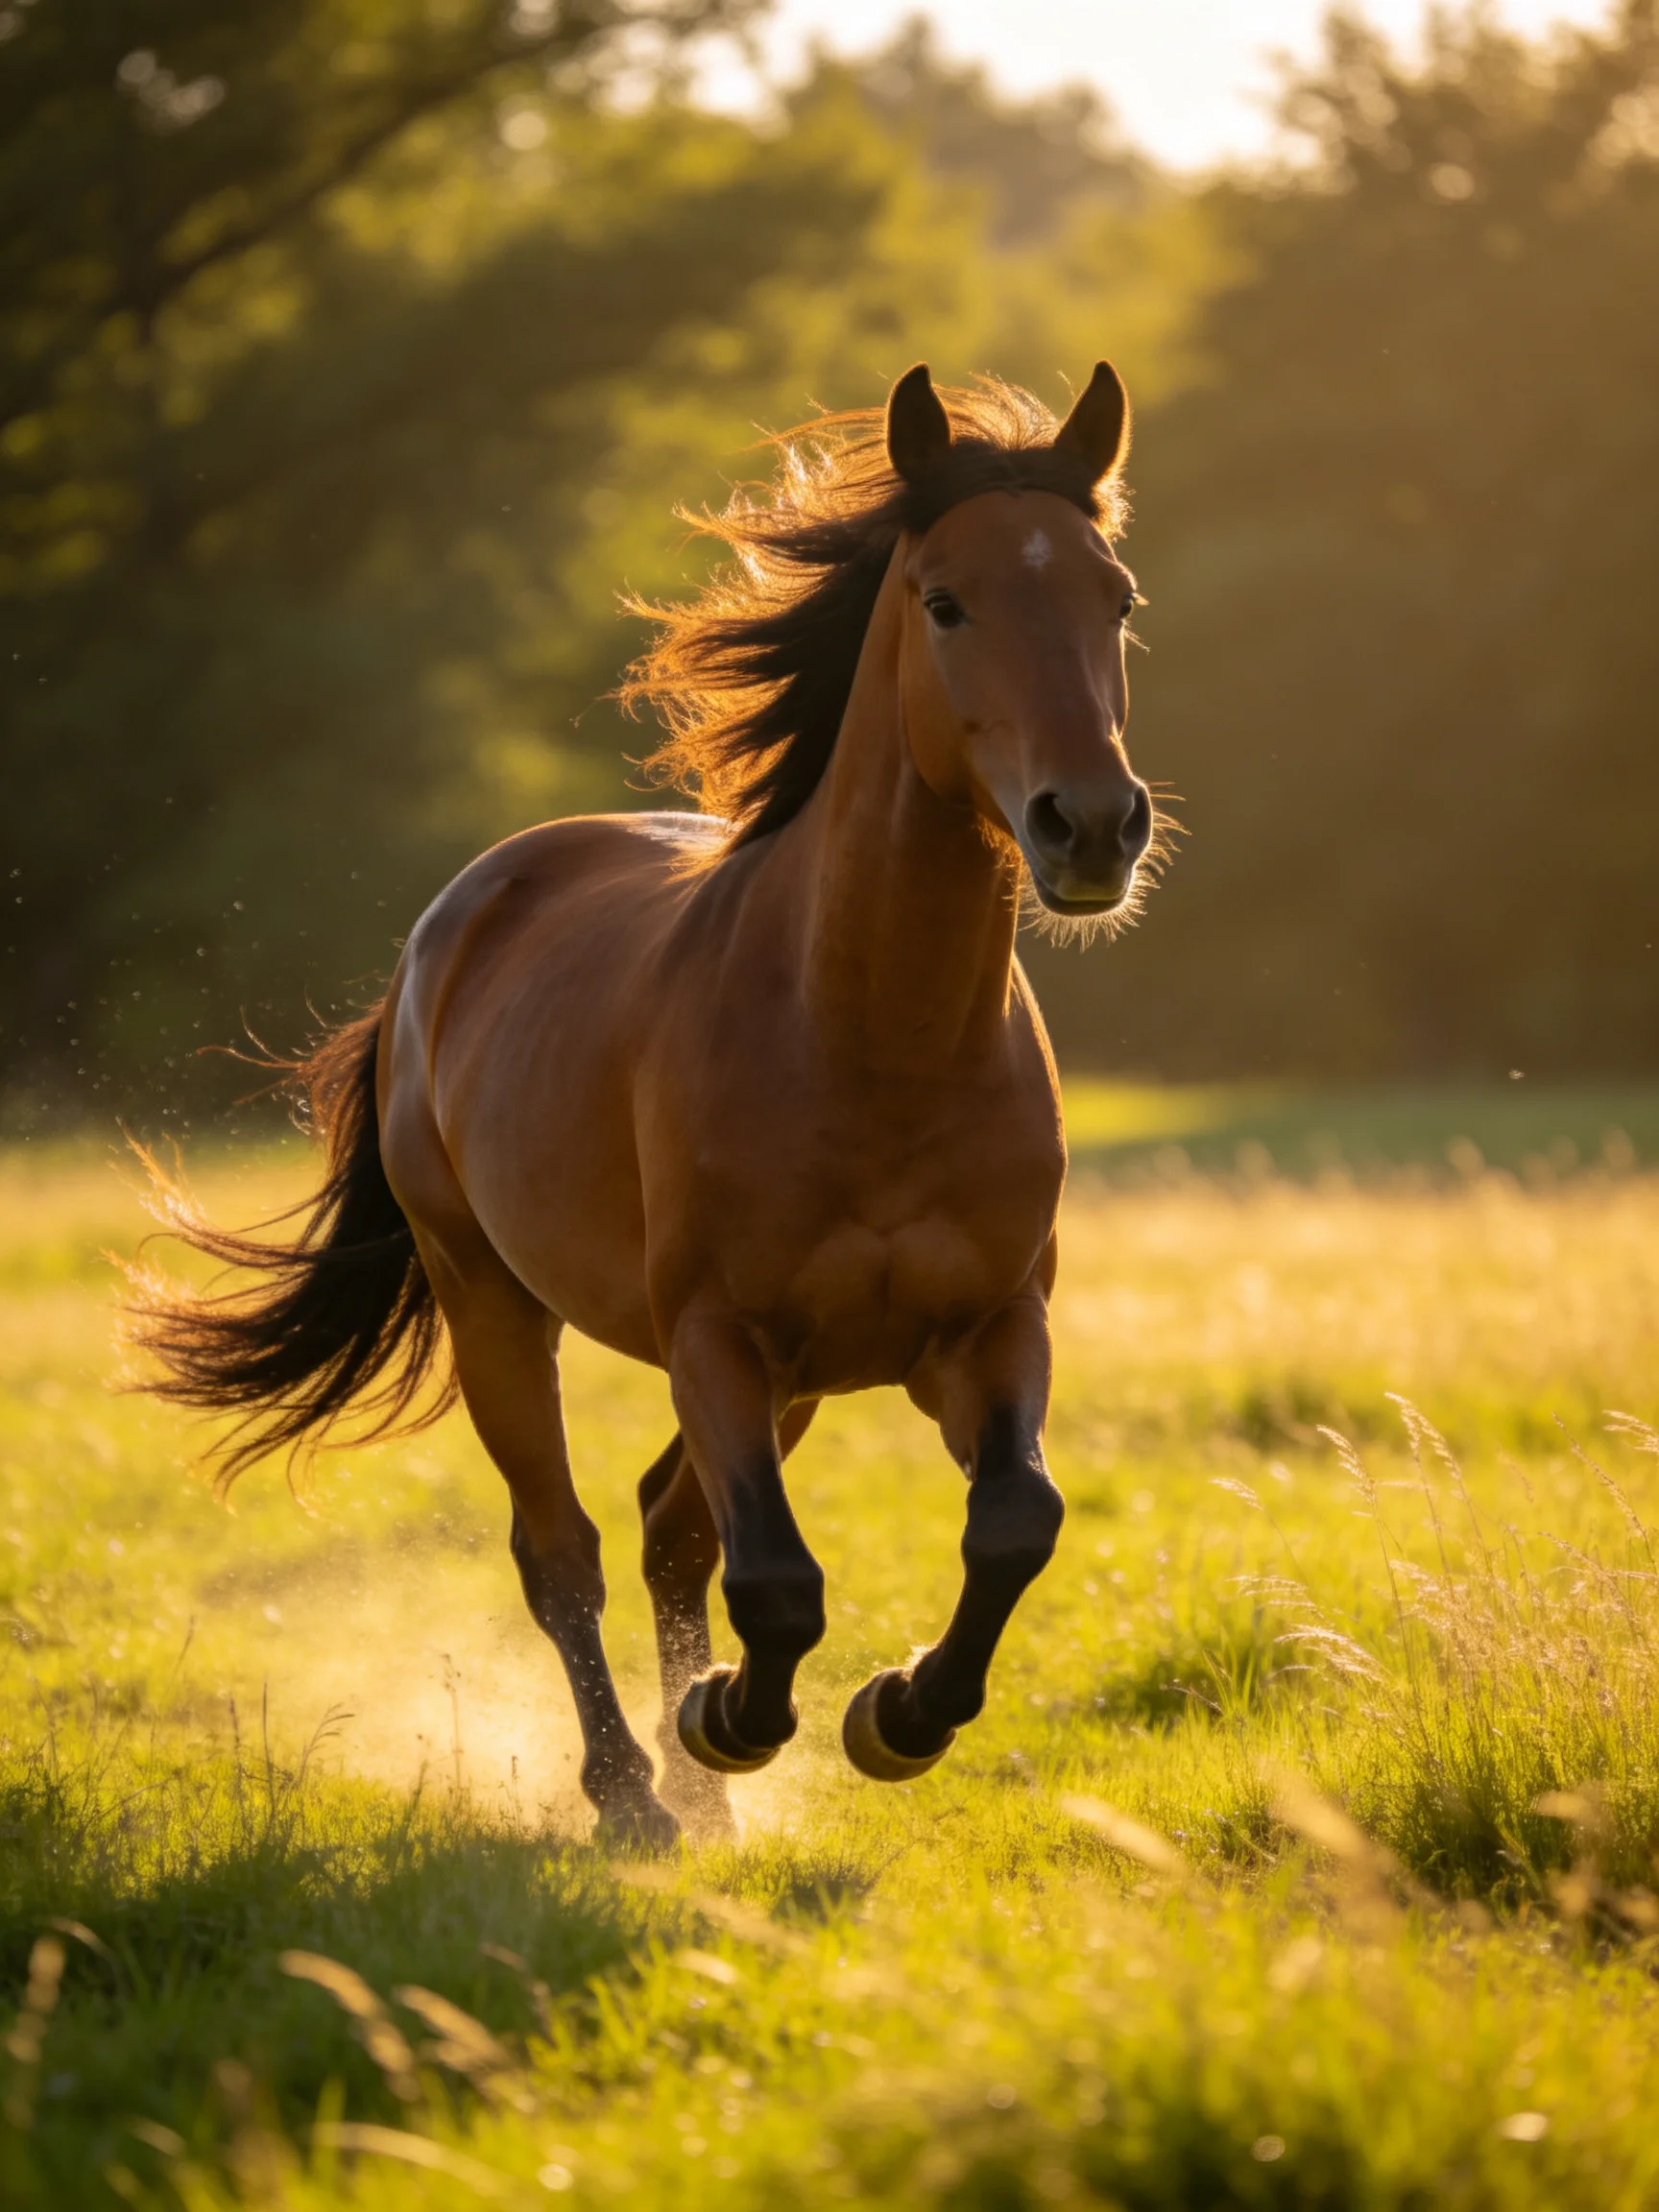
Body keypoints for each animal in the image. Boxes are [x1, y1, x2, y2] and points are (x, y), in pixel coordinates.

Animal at [133, 361, 1162, 1847]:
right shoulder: (716, 1334)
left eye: (1116, 598)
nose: (1090, 826)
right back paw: (636, 1795)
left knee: (669, 1523)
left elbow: (1016, 1521)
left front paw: (892, 1717)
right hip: (496, 1302)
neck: (871, 1039)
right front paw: (732, 1718)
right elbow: (775, 1580)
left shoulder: (984, 1327)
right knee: (563, 1546)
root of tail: (457, 917)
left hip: (793, 1378)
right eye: (944, 601)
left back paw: (702, 1794)